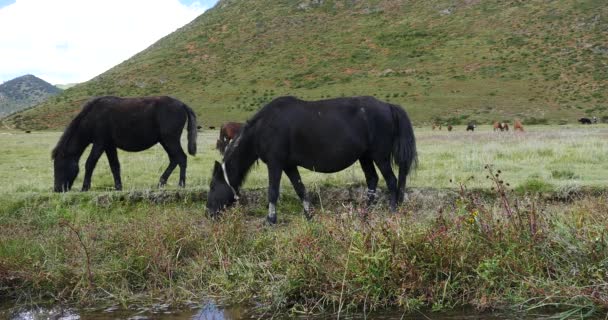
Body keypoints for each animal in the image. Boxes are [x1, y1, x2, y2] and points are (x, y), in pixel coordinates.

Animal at [52, 95, 198, 192]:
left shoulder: (100, 143)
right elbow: (115, 166)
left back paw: (181, 185)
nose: (57, 189)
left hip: (170, 140)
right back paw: (161, 183)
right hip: (165, 141)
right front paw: (118, 187)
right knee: (174, 160)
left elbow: (90, 163)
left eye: (59, 166)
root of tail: (182, 104)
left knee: (181, 158)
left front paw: (85, 187)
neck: (92, 116)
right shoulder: (109, 145)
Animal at [207, 96, 416, 224]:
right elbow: (300, 188)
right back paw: (365, 213)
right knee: (372, 180)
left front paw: (271, 219)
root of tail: (389, 106)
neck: (263, 127)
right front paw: (309, 214)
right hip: (365, 157)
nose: (208, 211)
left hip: (380, 156)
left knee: (391, 181)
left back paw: (392, 210)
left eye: (212, 186)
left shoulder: (275, 164)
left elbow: (272, 191)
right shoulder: (289, 166)